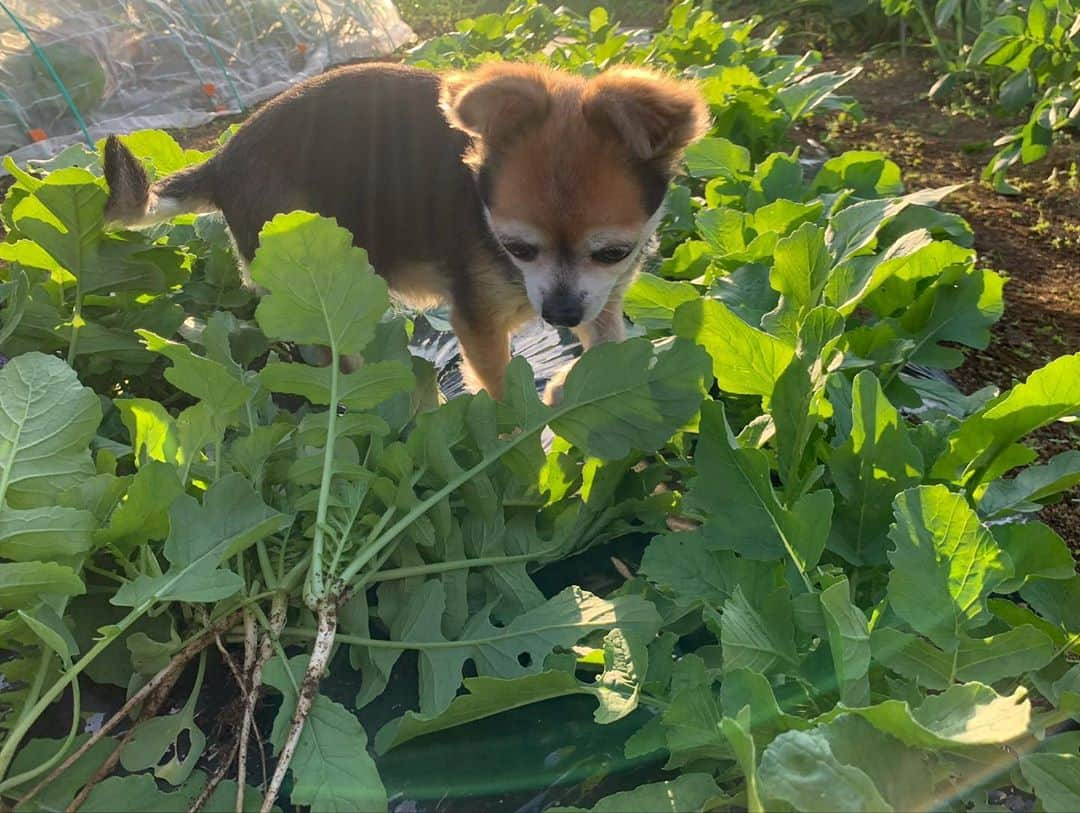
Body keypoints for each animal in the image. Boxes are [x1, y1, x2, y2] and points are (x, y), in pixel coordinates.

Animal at [103, 61, 708, 401]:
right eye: (517, 248)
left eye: (612, 253)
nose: (558, 315)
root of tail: (224, 159)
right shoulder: (476, 323)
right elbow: (499, 390)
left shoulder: (602, 299)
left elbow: (608, 345)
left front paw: (570, 386)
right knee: (332, 352)